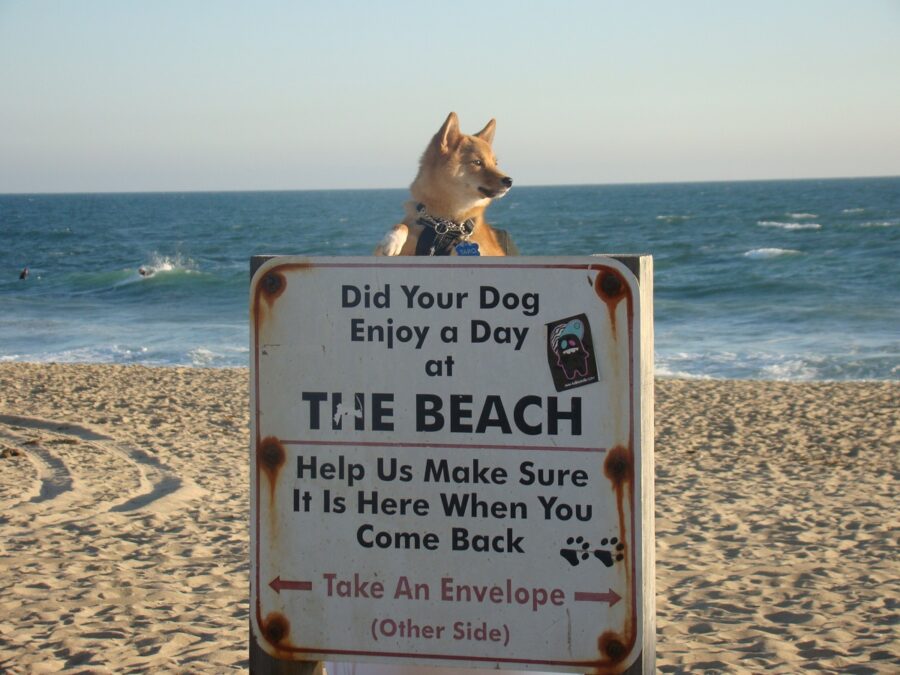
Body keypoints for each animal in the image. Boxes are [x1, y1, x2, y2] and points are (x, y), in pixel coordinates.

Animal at [372, 113, 516, 256]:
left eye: (495, 164)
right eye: (477, 162)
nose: (509, 181)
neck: (444, 225)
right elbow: (402, 225)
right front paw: (391, 240)